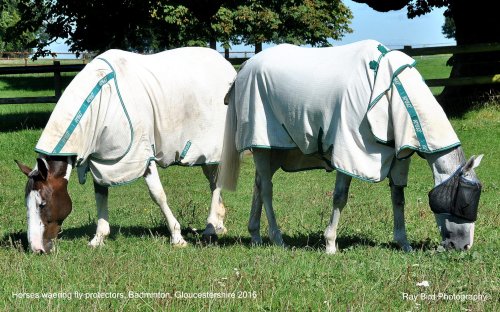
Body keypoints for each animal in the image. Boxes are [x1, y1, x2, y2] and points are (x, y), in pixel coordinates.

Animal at [15, 48, 234, 254]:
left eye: (42, 204)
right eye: (26, 204)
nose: (36, 248)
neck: (103, 100)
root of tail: (225, 65)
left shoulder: (143, 157)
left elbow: (158, 195)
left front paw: (177, 237)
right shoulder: (101, 162)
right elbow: (100, 197)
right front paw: (98, 239)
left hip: (213, 149)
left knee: (216, 184)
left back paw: (210, 228)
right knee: (214, 183)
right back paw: (218, 225)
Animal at [219, 39, 484, 254]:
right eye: (464, 200)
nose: (464, 247)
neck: (392, 89)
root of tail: (245, 67)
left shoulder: (399, 158)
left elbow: (398, 198)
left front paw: (404, 243)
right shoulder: (349, 151)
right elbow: (340, 197)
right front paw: (330, 244)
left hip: (274, 150)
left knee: (258, 184)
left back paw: (255, 236)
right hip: (262, 144)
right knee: (266, 189)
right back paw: (277, 238)